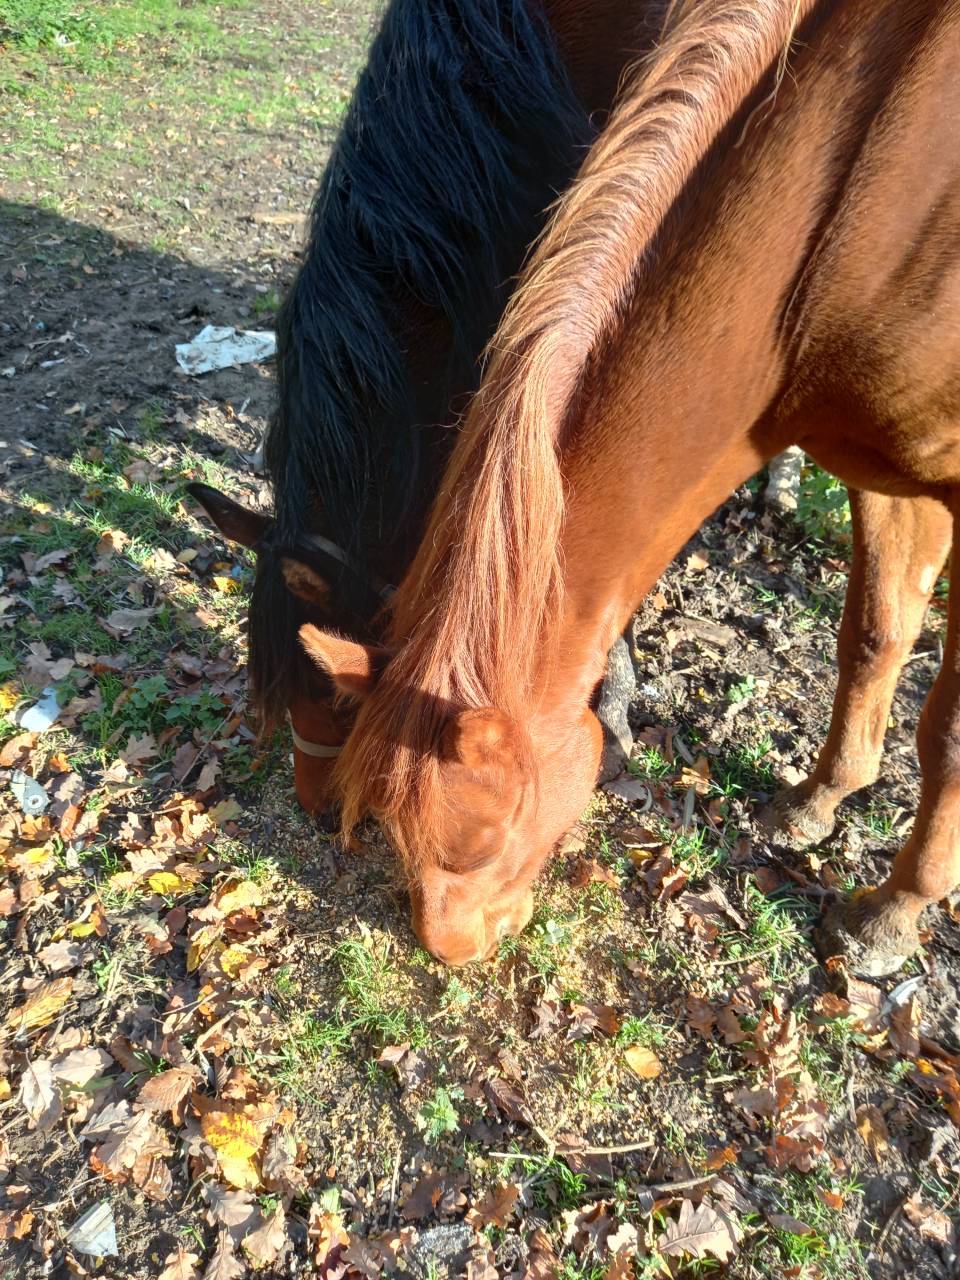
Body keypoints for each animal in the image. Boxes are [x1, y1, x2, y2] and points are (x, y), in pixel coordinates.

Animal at [299, 0, 960, 970]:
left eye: (486, 842)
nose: (456, 953)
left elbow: (945, 727)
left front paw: (894, 912)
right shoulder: (880, 463)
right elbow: (873, 636)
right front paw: (818, 801)